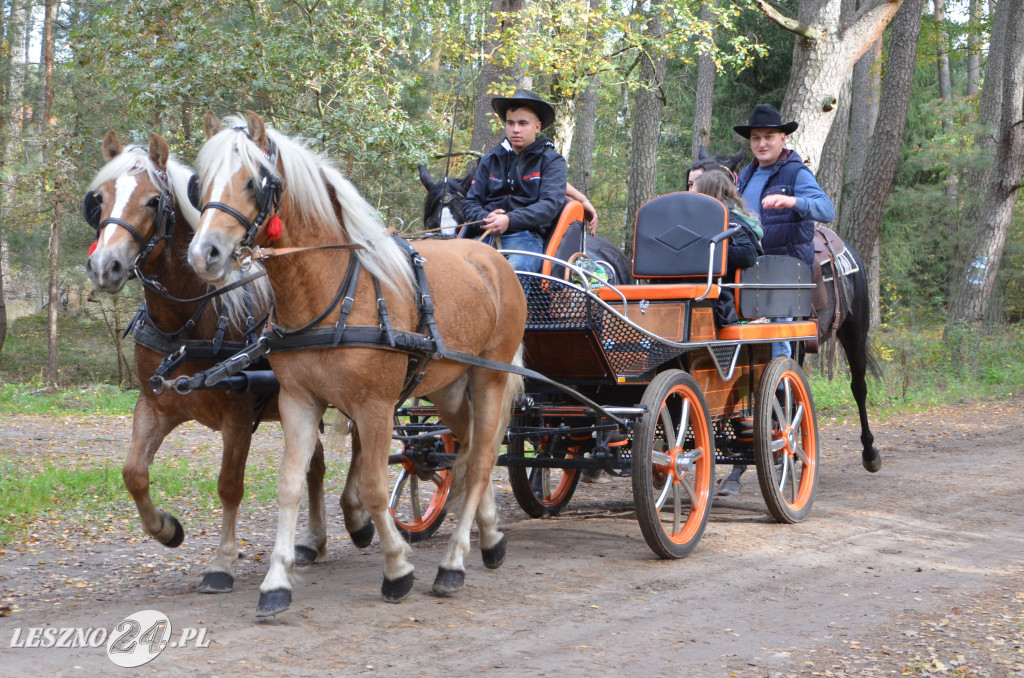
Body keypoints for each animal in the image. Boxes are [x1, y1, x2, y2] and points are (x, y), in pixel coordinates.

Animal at [87, 131, 331, 594]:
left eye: (153, 201)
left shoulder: (237, 415)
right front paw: (166, 529)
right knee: (316, 466)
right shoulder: (155, 406)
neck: (185, 325)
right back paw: (313, 541)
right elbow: (134, 473)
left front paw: (222, 562)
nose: (104, 266)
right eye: (101, 199)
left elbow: (229, 485)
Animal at [188, 111, 528, 614]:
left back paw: (453, 563)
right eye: (201, 183)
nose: (203, 253)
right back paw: (490, 539)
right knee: (466, 450)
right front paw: (276, 582)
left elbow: (372, 488)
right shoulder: (298, 402)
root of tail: (490, 254)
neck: (331, 292)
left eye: (254, 182)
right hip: (447, 387)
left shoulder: (376, 406)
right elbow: (291, 484)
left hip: (489, 374)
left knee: (484, 457)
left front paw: (397, 569)